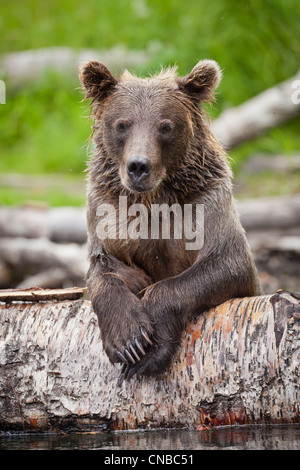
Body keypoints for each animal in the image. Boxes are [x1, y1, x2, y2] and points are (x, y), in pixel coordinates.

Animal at [79, 60, 260, 380]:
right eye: (122, 124)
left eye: (165, 126)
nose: (139, 166)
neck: (154, 200)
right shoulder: (108, 211)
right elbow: (104, 270)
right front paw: (127, 339)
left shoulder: (205, 205)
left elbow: (226, 263)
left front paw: (148, 351)